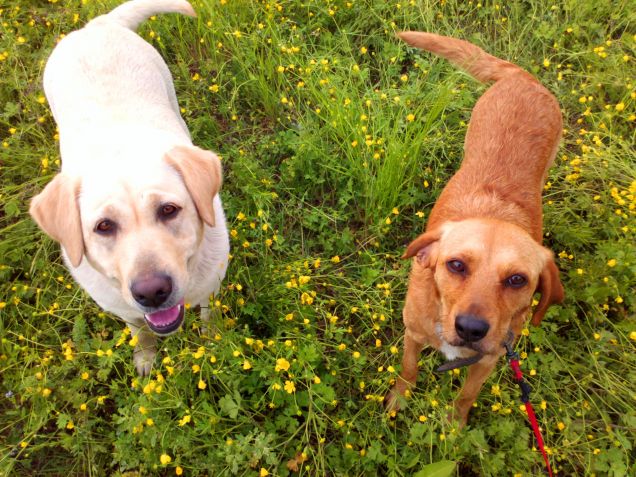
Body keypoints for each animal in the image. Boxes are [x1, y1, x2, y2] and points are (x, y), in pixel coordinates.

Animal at [30, 0, 229, 374]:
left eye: (169, 210)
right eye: (103, 226)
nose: (151, 292)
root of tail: (95, 26)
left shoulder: (211, 285)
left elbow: (210, 318)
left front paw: (214, 345)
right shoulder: (126, 311)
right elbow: (141, 333)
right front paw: (146, 360)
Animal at [388, 32, 568, 424]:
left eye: (517, 280)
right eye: (456, 265)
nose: (470, 329)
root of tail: (524, 77)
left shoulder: (489, 360)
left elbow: (466, 396)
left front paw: (455, 427)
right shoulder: (411, 335)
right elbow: (408, 370)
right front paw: (400, 398)